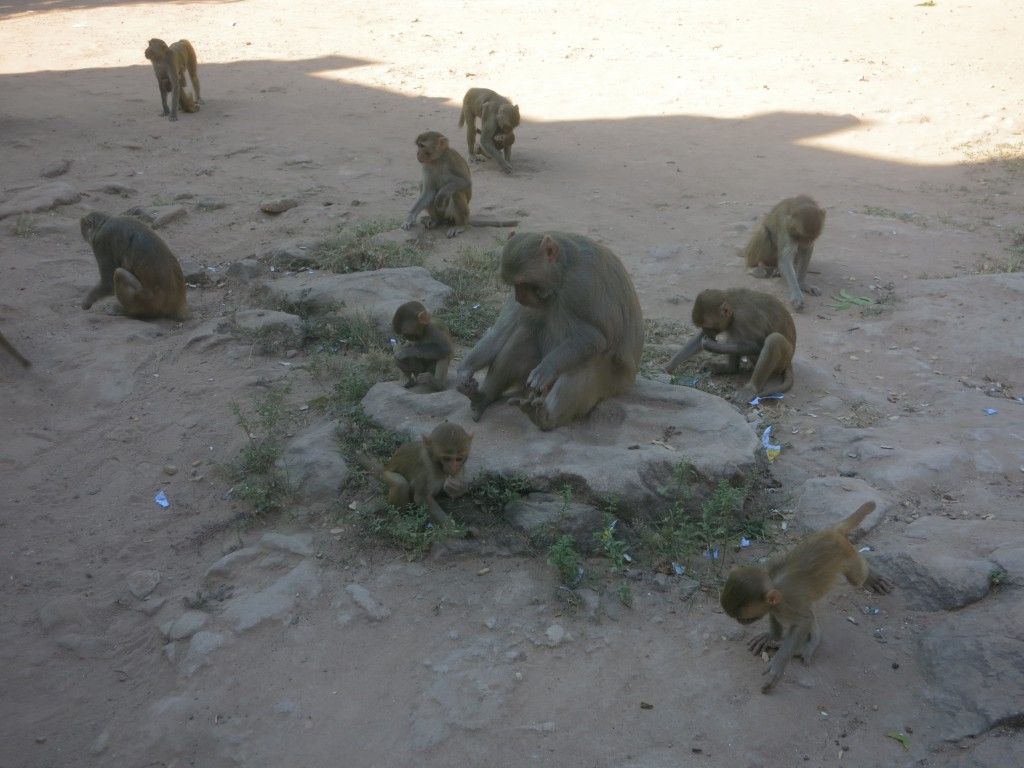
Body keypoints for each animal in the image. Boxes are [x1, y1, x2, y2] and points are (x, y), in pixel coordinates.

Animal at [454, 228, 638, 434]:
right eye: (515, 285)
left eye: (526, 283)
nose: (519, 298)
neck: (562, 271)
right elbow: (502, 331)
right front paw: (464, 370)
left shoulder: (579, 287)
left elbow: (594, 339)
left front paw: (545, 370)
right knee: (523, 336)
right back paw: (483, 397)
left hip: (610, 386)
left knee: (587, 359)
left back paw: (546, 418)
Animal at [663, 288, 798, 409]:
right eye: (703, 327)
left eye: (709, 327)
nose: (707, 333)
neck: (734, 305)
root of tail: (789, 360)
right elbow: (699, 339)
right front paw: (669, 365)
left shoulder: (744, 319)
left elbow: (757, 345)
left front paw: (712, 345)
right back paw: (729, 368)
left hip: (783, 359)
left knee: (773, 339)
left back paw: (750, 388)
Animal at [720, 501, 897, 696]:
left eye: (744, 618)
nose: (739, 623)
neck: (772, 581)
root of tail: (831, 532)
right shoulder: (775, 604)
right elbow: (789, 617)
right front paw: (772, 635)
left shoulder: (787, 603)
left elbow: (803, 620)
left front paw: (777, 667)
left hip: (847, 555)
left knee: (857, 578)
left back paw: (871, 576)